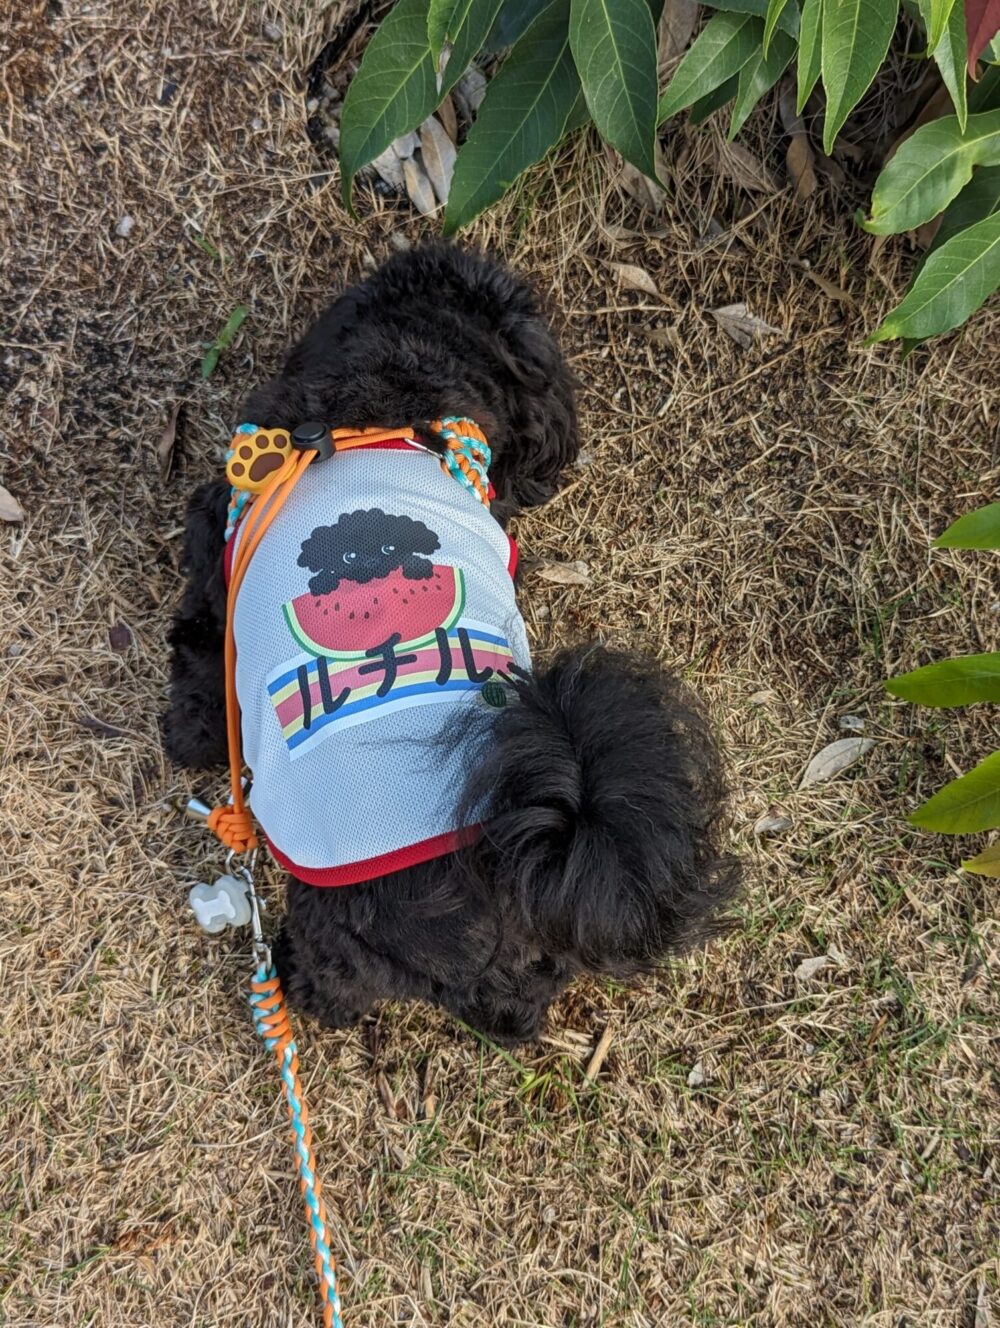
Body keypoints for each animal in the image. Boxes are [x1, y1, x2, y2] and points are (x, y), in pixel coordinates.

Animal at [164, 244, 738, 1045]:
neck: (386, 404)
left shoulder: (215, 546)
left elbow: (197, 652)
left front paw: (186, 734)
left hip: (339, 925)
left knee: (335, 977)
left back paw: (297, 983)